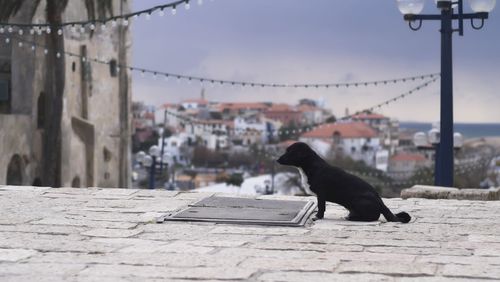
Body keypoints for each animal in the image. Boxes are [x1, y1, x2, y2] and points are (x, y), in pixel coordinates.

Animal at [278, 142, 410, 224]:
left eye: (291, 152)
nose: (277, 159)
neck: (311, 166)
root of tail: (381, 202)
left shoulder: (321, 194)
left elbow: (321, 207)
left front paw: (318, 217)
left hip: (358, 201)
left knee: (372, 217)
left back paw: (352, 219)